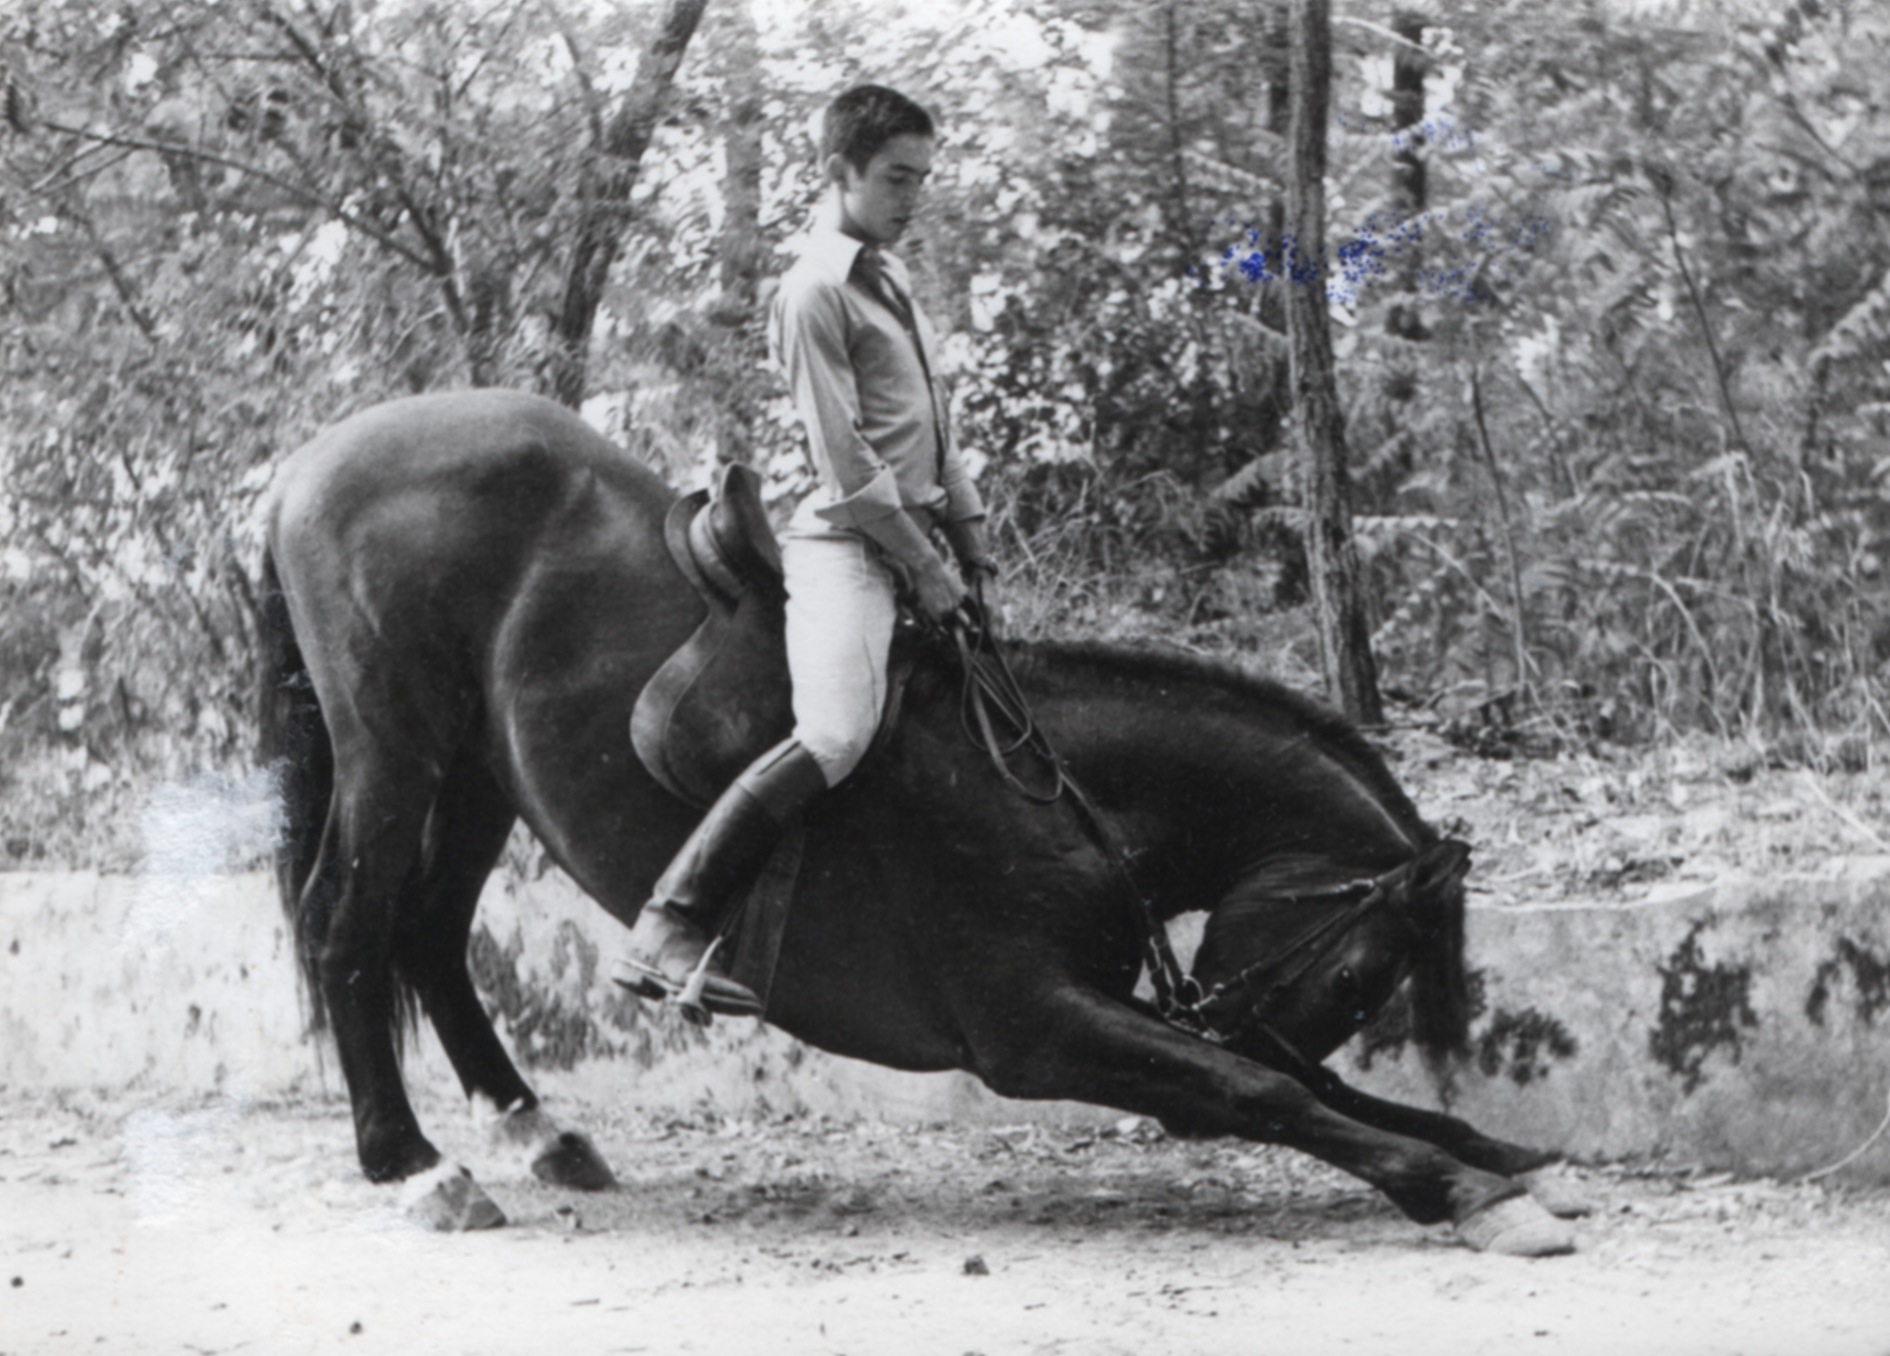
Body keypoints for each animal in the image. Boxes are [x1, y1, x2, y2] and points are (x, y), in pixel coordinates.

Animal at [258, 385, 1572, 1255]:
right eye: (1359, 974)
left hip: (478, 776)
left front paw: (1506, 1158)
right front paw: (1460, 1190)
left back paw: (538, 1134)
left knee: (428, 936)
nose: (1251, 1022)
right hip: (396, 751)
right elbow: (1273, 1093)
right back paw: (415, 1168)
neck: (1060, 792)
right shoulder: (1036, 1026)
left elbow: (1327, 1090)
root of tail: (310, 460)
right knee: (346, 927)